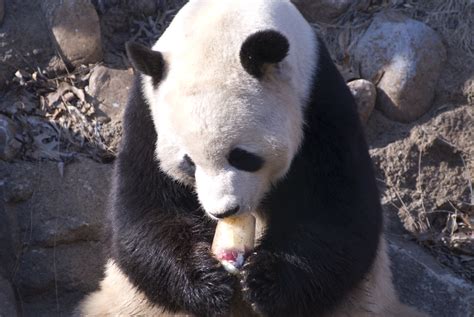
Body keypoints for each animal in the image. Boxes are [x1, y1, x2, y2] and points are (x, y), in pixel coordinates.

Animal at [78, 0, 426, 314]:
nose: (223, 211)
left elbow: (339, 211)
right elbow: (144, 211)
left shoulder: (320, 102)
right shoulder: (147, 115)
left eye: (242, 156)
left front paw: (264, 282)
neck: (223, 22)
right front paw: (207, 281)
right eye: (188, 162)